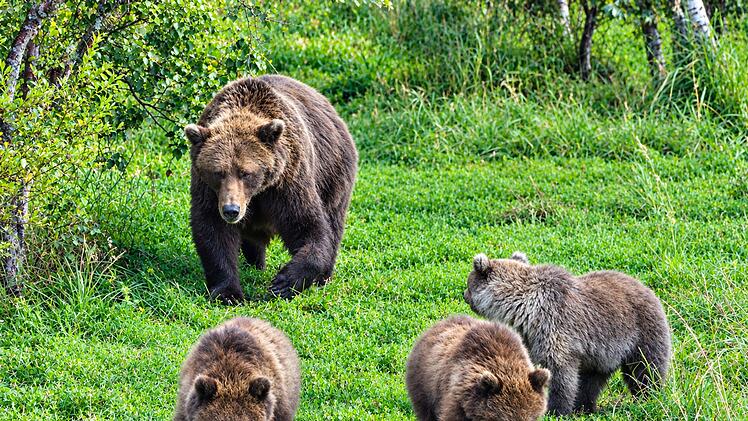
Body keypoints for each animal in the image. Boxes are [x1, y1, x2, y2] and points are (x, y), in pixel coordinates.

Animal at [185, 75, 358, 302]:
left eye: (245, 172)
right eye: (218, 172)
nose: (231, 210)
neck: (257, 193)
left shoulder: (288, 181)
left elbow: (309, 227)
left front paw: (283, 283)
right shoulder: (209, 191)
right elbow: (213, 230)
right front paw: (228, 292)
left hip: (333, 174)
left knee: (333, 221)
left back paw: (323, 277)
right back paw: (255, 263)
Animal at [463, 252, 672, 415]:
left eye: (468, 282)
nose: (465, 295)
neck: (525, 308)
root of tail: (649, 290)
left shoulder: (556, 327)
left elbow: (560, 374)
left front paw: (555, 409)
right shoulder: (532, 337)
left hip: (640, 332)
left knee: (646, 368)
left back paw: (648, 397)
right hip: (600, 355)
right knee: (590, 381)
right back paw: (584, 407)